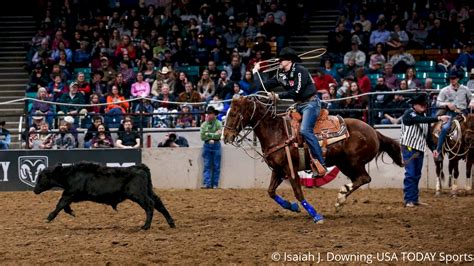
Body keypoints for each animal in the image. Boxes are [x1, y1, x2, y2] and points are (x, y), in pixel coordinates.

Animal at [224, 96, 402, 223]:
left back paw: (340, 196)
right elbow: (271, 192)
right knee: (359, 179)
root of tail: (374, 131)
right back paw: (341, 199)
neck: (276, 131)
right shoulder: (278, 170)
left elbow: (298, 193)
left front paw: (316, 215)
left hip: (353, 162)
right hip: (344, 164)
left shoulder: (290, 169)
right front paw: (292, 207)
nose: (226, 137)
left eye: (233, 114)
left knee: (364, 178)